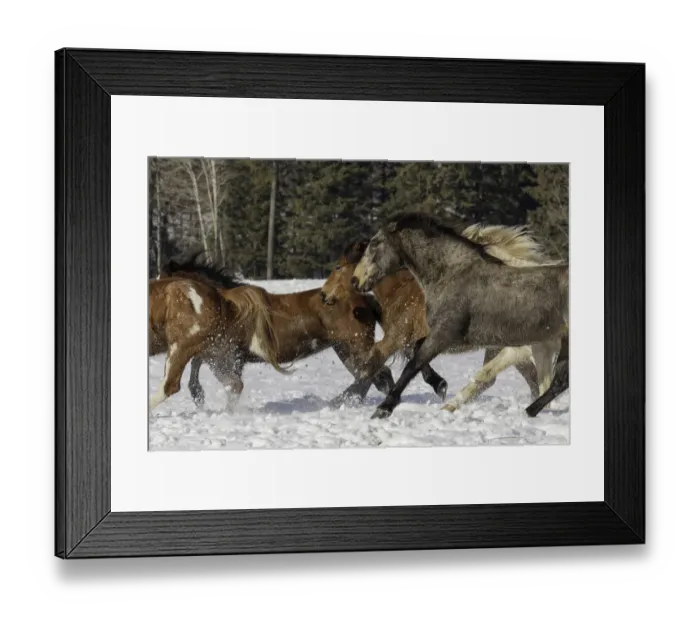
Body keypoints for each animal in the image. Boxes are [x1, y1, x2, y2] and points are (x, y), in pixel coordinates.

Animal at [160, 254, 396, 409]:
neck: (226, 306)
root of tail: (364, 299)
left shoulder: (226, 353)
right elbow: (197, 364)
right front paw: (198, 396)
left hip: (353, 347)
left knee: (375, 374)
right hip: (345, 349)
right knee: (372, 376)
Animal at [352, 213, 568, 419]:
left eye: (374, 243)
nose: (355, 280)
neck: (452, 275)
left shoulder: (446, 336)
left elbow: (413, 365)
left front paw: (384, 409)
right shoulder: (457, 339)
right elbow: (416, 350)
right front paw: (439, 385)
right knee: (559, 381)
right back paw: (530, 411)